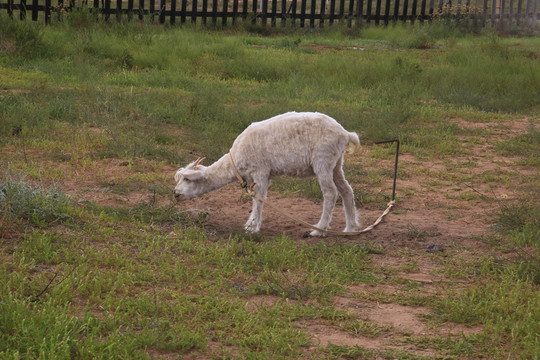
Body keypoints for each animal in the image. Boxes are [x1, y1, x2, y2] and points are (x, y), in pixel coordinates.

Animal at [175, 112, 360, 236]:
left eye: (187, 179)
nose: (175, 194)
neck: (235, 161)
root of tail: (345, 133)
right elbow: (257, 198)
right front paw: (251, 224)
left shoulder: (261, 171)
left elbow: (258, 199)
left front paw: (252, 227)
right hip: (336, 163)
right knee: (346, 190)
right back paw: (350, 228)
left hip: (323, 159)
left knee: (330, 193)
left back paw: (319, 230)